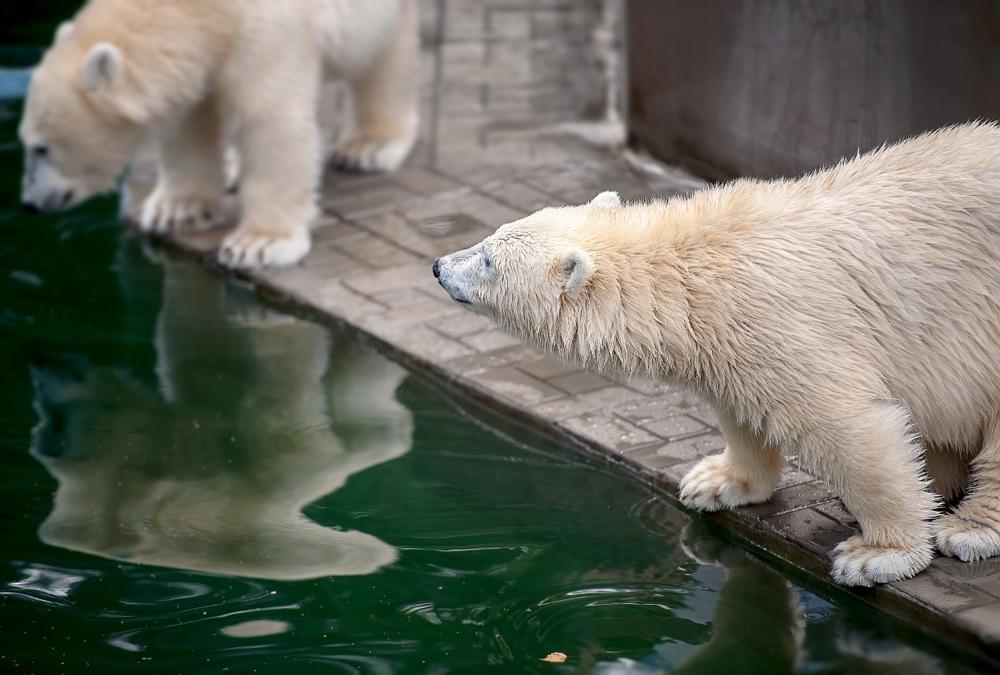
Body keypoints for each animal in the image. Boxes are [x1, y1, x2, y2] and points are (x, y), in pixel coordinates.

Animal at [19, 0, 418, 270]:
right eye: (26, 143)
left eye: (42, 148)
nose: (29, 203)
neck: (205, 10)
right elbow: (190, 122)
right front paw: (178, 210)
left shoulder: (268, 28)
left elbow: (270, 120)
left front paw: (258, 243)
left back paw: (370, 145)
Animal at [436, 124, 1000, 588]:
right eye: (488, 238)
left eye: (488, 260)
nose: (440, 266)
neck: (692, 273)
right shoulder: (730, 343)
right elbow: (741, 410)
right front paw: (716, 483)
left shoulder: (782, 323)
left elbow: (848, 426)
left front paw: (878, 554)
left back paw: (967, 528)